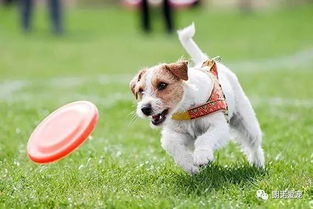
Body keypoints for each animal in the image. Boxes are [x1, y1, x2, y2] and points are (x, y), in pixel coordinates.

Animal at [129, 22, 264, 174]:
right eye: (140, 91)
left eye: (162, 85)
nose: (145, 108)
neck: (186, 108)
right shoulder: (177, 133)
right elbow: (172, 145)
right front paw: (189, 165)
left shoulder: (219, 127)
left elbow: (204, 139)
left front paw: (202, 157)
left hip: (247, 122)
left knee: (254, 144)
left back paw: (258, 164)